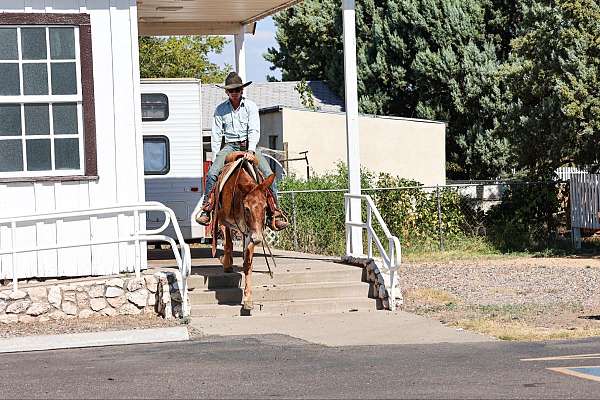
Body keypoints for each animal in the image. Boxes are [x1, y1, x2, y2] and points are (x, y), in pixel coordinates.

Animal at [213, 153, 276, 310]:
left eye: (265, 207)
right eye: (247, 208)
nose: (258, 238)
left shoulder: (250, 233)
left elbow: (248, 263)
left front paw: (248, 299)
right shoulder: (224, 221)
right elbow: (228, 243)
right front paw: (227, 263)